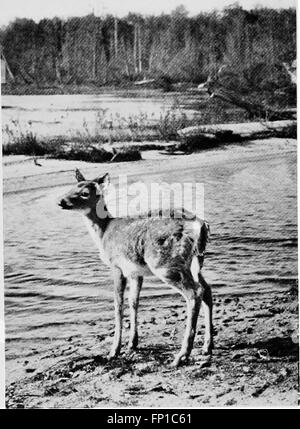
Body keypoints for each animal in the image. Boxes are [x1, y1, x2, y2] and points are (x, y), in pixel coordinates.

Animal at [58, 169, 213, 366]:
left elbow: (118, 304)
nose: (61, 201)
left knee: (195, 293)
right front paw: (133, 343)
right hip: (195, 261)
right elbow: (134, 302)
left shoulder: (117, 266)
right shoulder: (135, 272)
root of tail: (200, 225)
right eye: (72, 187)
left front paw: (114, 351)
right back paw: (207, 346)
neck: (104, 233)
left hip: (165, 264)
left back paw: (182, 355)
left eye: (85, 192)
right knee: (206, 289)